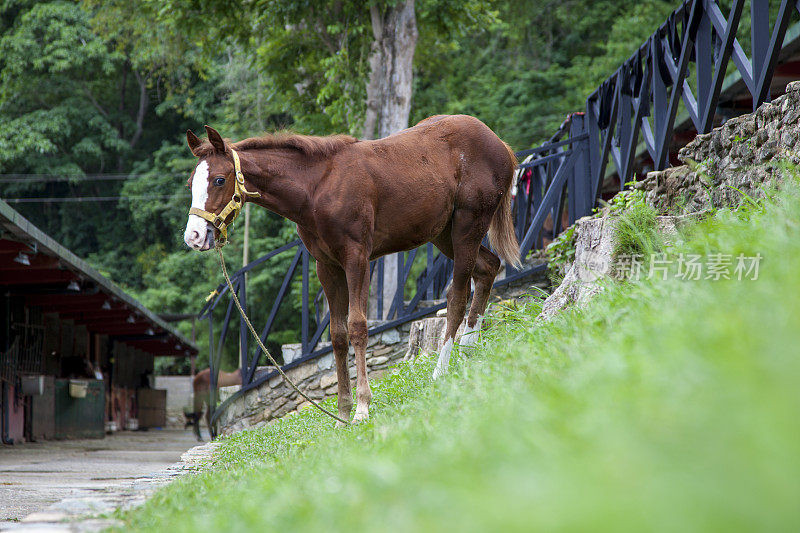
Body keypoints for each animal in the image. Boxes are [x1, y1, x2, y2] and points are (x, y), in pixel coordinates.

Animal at [183, 115, 520, 424]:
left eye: (219, 180)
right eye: (191, 183)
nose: (194, 236)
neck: (317, 188)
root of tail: (499, 144)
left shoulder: (356, 258)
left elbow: (358, 327)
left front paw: (362, 408)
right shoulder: (327, 267)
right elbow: (338, 334)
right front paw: (342, 411)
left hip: (467, 226)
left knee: (458, 295)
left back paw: (442, 369)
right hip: (443, 234)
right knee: (488, 267)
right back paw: (468, 351)